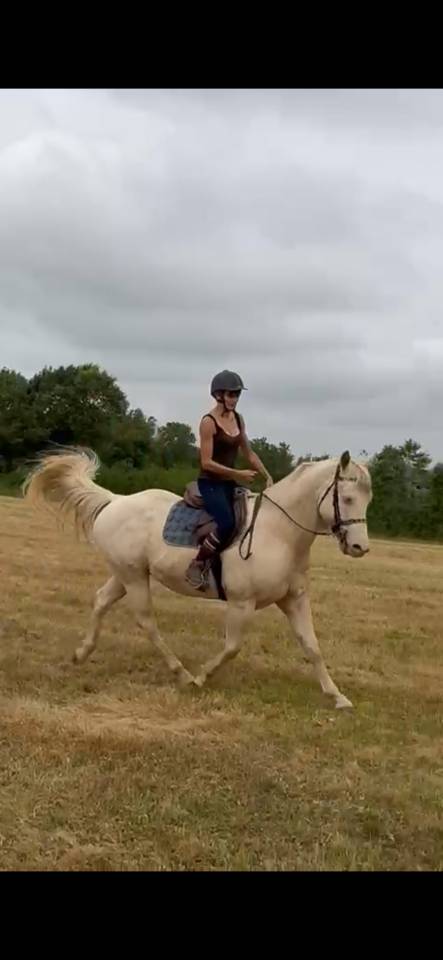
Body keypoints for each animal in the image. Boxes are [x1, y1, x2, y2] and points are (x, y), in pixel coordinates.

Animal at [23, 447, 372, 708]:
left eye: (366, 499)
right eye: (348, 498)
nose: (360, 548)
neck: (279, 532)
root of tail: (116, 500)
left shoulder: (294, 600)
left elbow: (312, 646)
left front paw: (337, 696)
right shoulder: (242, 603)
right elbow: (232, 647)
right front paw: (200, 678)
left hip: (125, 574)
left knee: (101, 601)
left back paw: (81, 654)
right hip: (134, 578)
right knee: (146, 622)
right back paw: (180, 673)